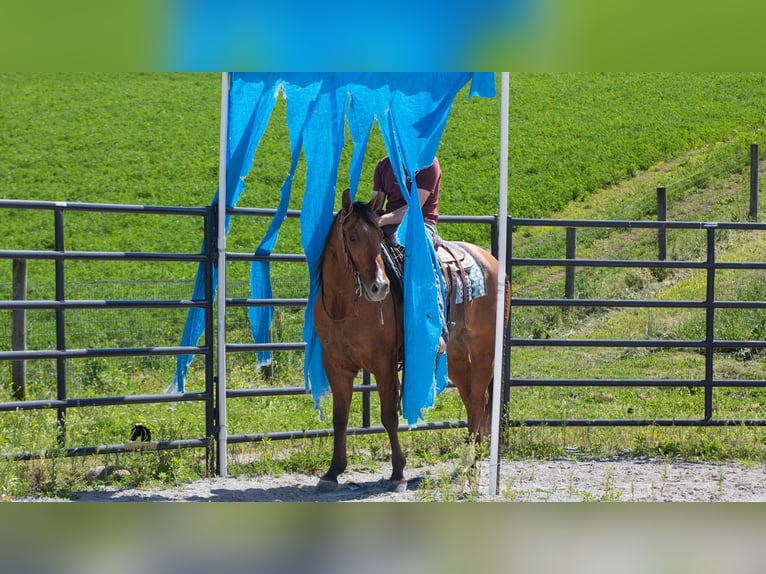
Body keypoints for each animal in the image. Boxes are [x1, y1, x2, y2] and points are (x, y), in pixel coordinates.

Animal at [313, 189, 509, 492]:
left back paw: (470, 463)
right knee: (471, 400)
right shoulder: (335, 363)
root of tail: (493, 262)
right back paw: (468, 464)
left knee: (479, 399)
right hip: (455, 354)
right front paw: (333, 471)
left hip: (484, 348)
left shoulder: (383, 362)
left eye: (378, 237)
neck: (345, 306)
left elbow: (388, 416)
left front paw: (398, 473)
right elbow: (340, 417)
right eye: (353, 237)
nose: (380, 287)